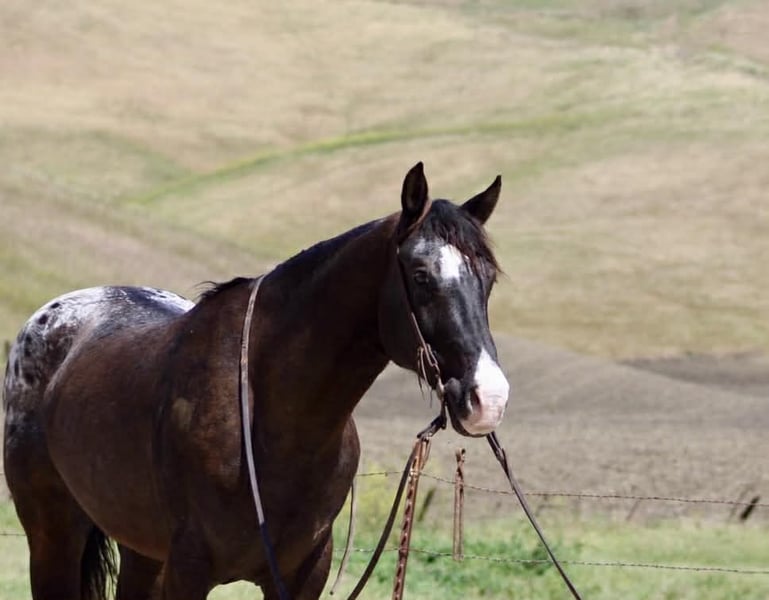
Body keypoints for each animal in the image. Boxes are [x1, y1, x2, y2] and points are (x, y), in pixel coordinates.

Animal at [3, 162, 510, 600]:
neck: (271, 420)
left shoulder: (304, 575)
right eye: (421, 275)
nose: (490, 398)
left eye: (488, 279)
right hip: (52, 537)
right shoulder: (188, 570)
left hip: (139, 549)